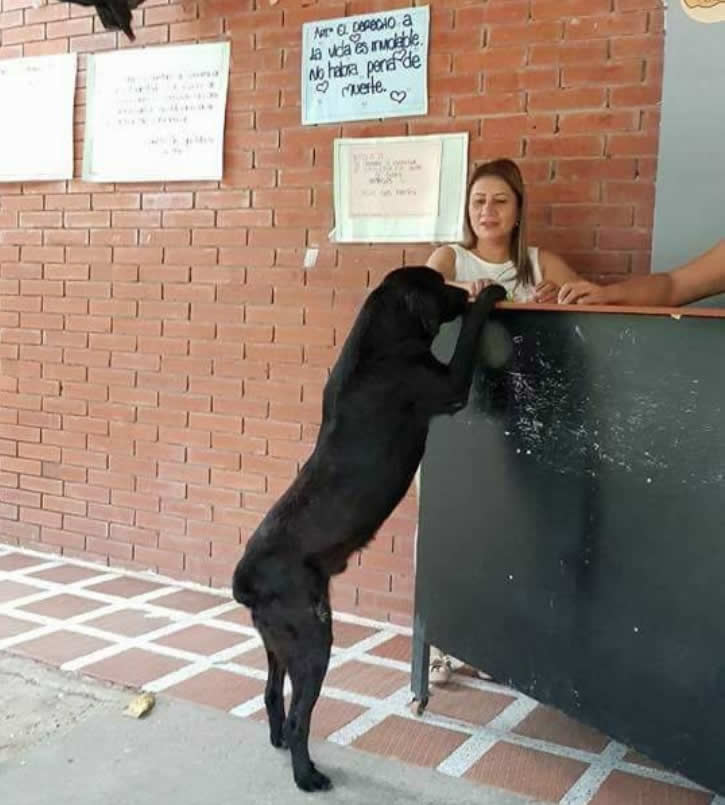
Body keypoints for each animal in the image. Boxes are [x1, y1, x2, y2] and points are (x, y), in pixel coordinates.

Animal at [232, 266, 504, 792]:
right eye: (439, 283)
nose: (462, 291)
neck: (381, 340)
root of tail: (246, 581)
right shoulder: (447, 384)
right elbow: (468, 342)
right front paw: (489, 296)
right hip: (313, 641)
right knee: (299, 718)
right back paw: (307, 776)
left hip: (278, 643)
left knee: (272, 694)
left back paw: (279, 744)